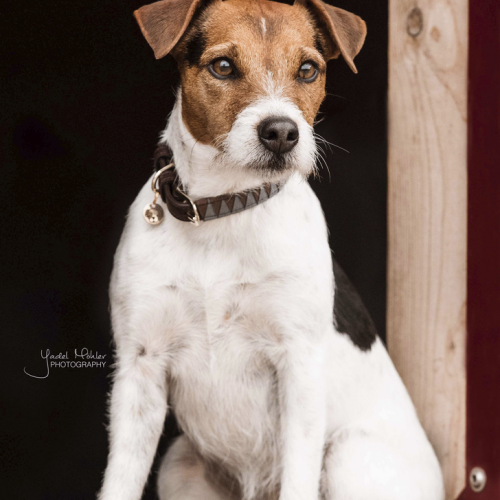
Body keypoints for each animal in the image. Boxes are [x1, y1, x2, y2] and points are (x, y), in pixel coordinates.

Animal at [97, 0, 446, 500]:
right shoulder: (140, 365)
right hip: (178, 463)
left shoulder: (298, 363)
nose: (281, 132)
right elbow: (120, 480)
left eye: (308, 70)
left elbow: (298, 475)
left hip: (348, 455)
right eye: (223, 66)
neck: (225, 209)